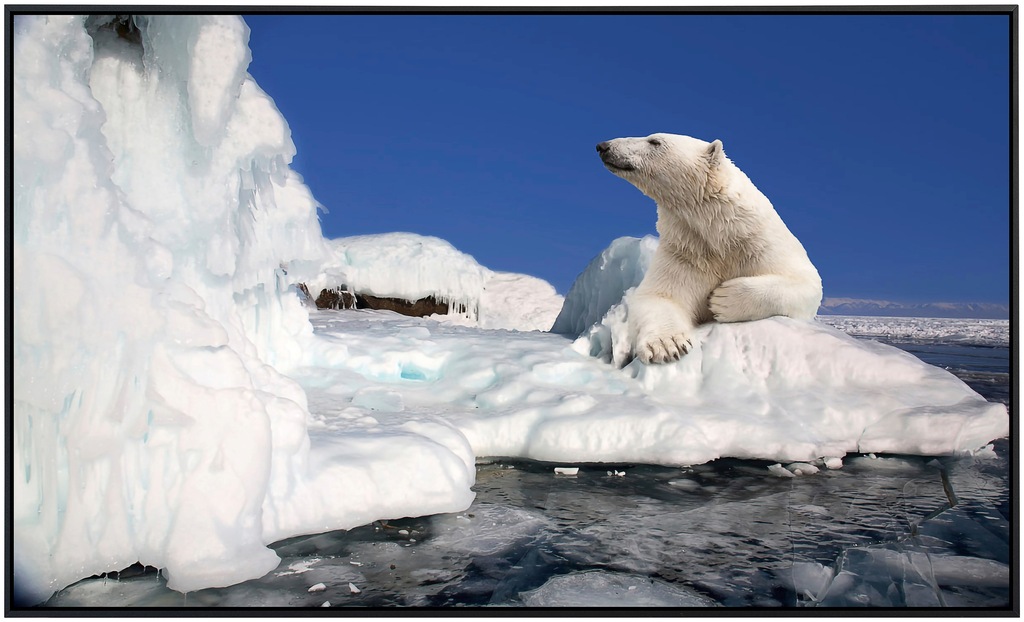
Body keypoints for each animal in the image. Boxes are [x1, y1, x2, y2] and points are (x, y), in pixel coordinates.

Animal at [598, 132, 819, 364]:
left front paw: (723, 299)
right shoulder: (685, 251)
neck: (721, 235)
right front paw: (667, 345)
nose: (604, 146)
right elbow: (660, 296)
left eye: (654, 141)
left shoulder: (761, 243)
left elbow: (806, 282)